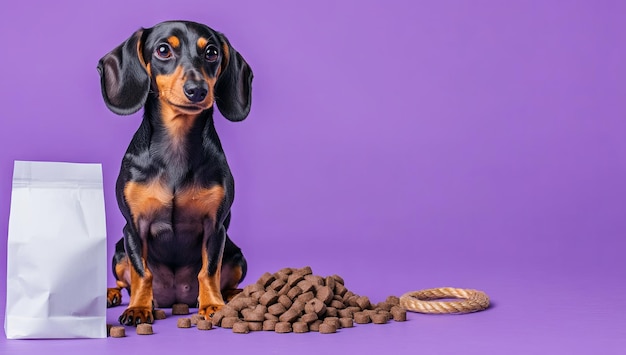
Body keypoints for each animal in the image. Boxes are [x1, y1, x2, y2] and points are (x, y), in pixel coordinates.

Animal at [97, 19, 251, 326]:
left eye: (212, 53)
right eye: (163, 50)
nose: (197, 90)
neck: (176, 146)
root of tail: (176, 297)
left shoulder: (215, 227)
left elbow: (209, 270)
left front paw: (212, 304)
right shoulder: (134, 227)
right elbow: (142, 272)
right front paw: (139, 308)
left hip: (237, 255)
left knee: (227, 278)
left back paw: (233, 295)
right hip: (119, 250)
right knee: (123, 281)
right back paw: (112, 294)